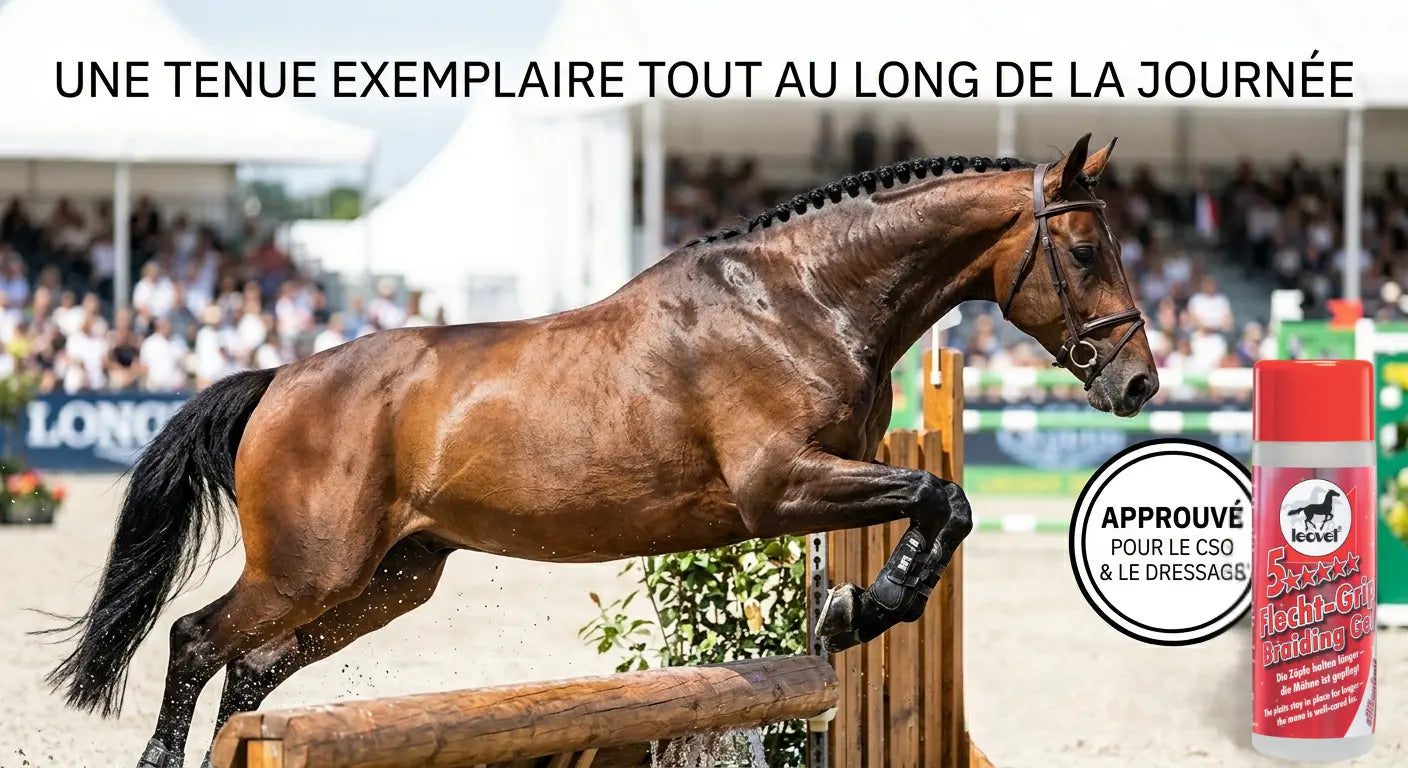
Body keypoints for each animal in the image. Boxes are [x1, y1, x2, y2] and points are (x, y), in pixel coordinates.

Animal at [43, 133, 1157, 767]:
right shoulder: (782, 486)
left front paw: (852, 606)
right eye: (1085, 250)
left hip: (391, 577)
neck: (808, 300)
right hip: (310, 566)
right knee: (198, 643)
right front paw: (863, 605)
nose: (1139, 384)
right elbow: (940, 497)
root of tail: (280, 379)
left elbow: (941, 505)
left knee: (250, 671)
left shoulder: (832, 473)